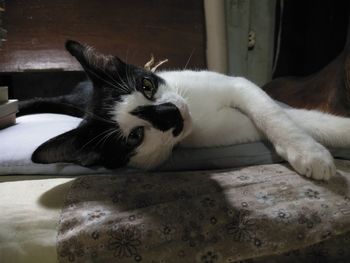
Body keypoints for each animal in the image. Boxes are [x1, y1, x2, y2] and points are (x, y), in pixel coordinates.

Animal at [19, 40, 350, 182]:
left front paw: (312, 148)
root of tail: (79, 95)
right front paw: (314, 153)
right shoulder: (233, 130)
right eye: (135, 136)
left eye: (147, 85)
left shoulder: (238, 86)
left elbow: (277, 113)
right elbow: (294, 120)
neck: (197, 112)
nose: (171, 113)